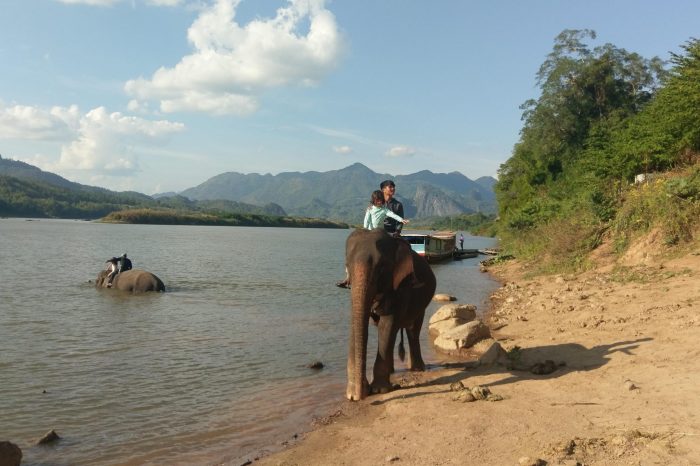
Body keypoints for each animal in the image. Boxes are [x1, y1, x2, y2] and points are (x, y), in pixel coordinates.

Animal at [344, 228, 434, 400]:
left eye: (381, 267)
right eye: (347, 266)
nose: (361, 394)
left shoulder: (402, 285)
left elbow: (387, 324)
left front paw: (379, 390)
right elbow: (356, 321)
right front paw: (351, 394)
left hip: (421, 303)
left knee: (413, 330)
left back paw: (417, 369)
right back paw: (392, 371)